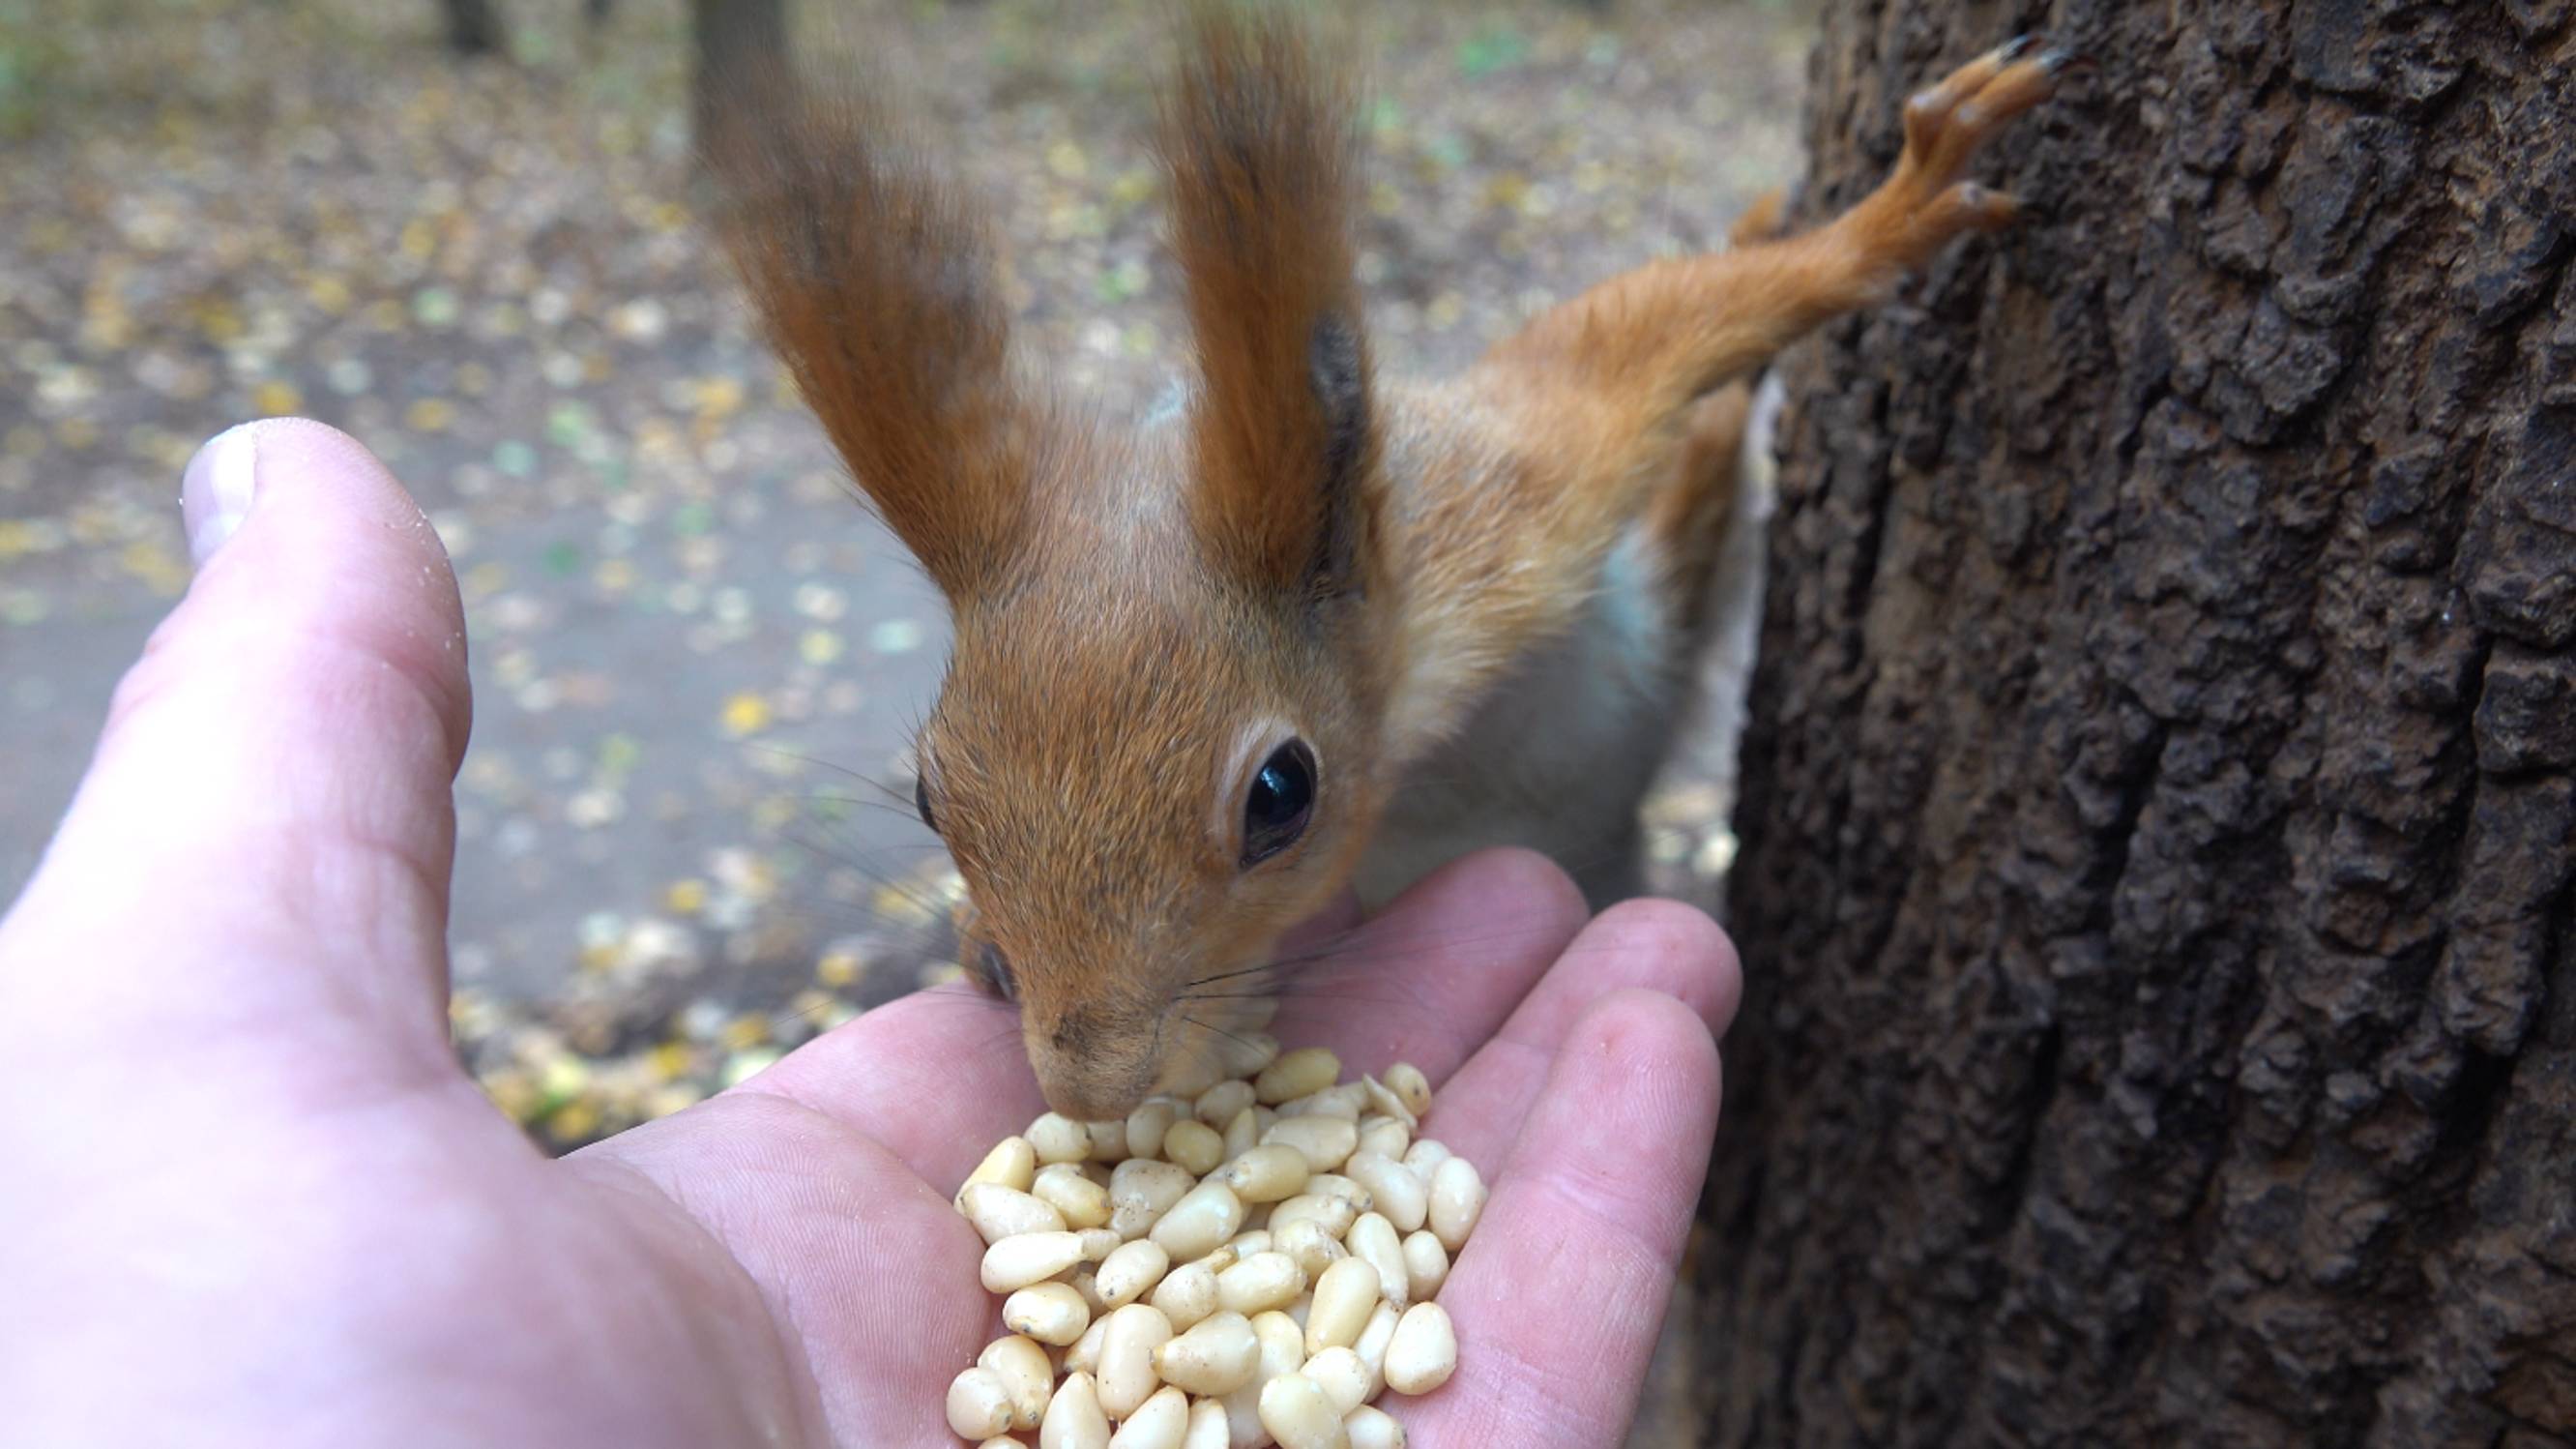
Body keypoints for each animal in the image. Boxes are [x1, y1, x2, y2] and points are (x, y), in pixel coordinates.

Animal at [711, 5, 2070, 1109]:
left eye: (1281, 795)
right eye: (929, 794)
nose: (1093, 1085)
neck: (1420, 738)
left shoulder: (1510, 515)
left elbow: (1640, 341)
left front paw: (1887, 215)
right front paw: (978, 943)